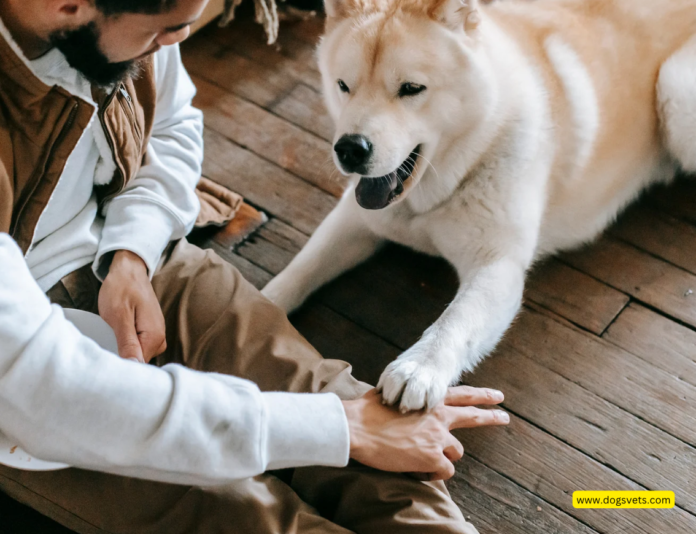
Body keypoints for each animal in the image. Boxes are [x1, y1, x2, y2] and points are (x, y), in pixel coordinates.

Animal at [260, 0, 696, 412]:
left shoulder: (497, 264)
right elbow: (300, 270)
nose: (350, 149)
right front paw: (259, 306)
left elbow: (456, 319)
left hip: (673, 92)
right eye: (343, 86)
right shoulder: (355, 220)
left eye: (411, 88)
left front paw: (419, 367)